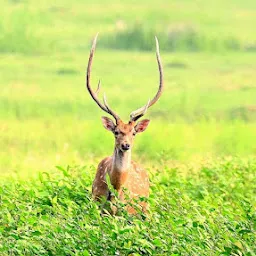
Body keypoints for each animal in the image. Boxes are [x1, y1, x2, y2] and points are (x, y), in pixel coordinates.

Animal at [85, 34, 162, 214]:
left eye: (133, 132)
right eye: (116, 131)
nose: (125, 145)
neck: (117, 187)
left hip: (145, 208)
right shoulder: (97, 204)